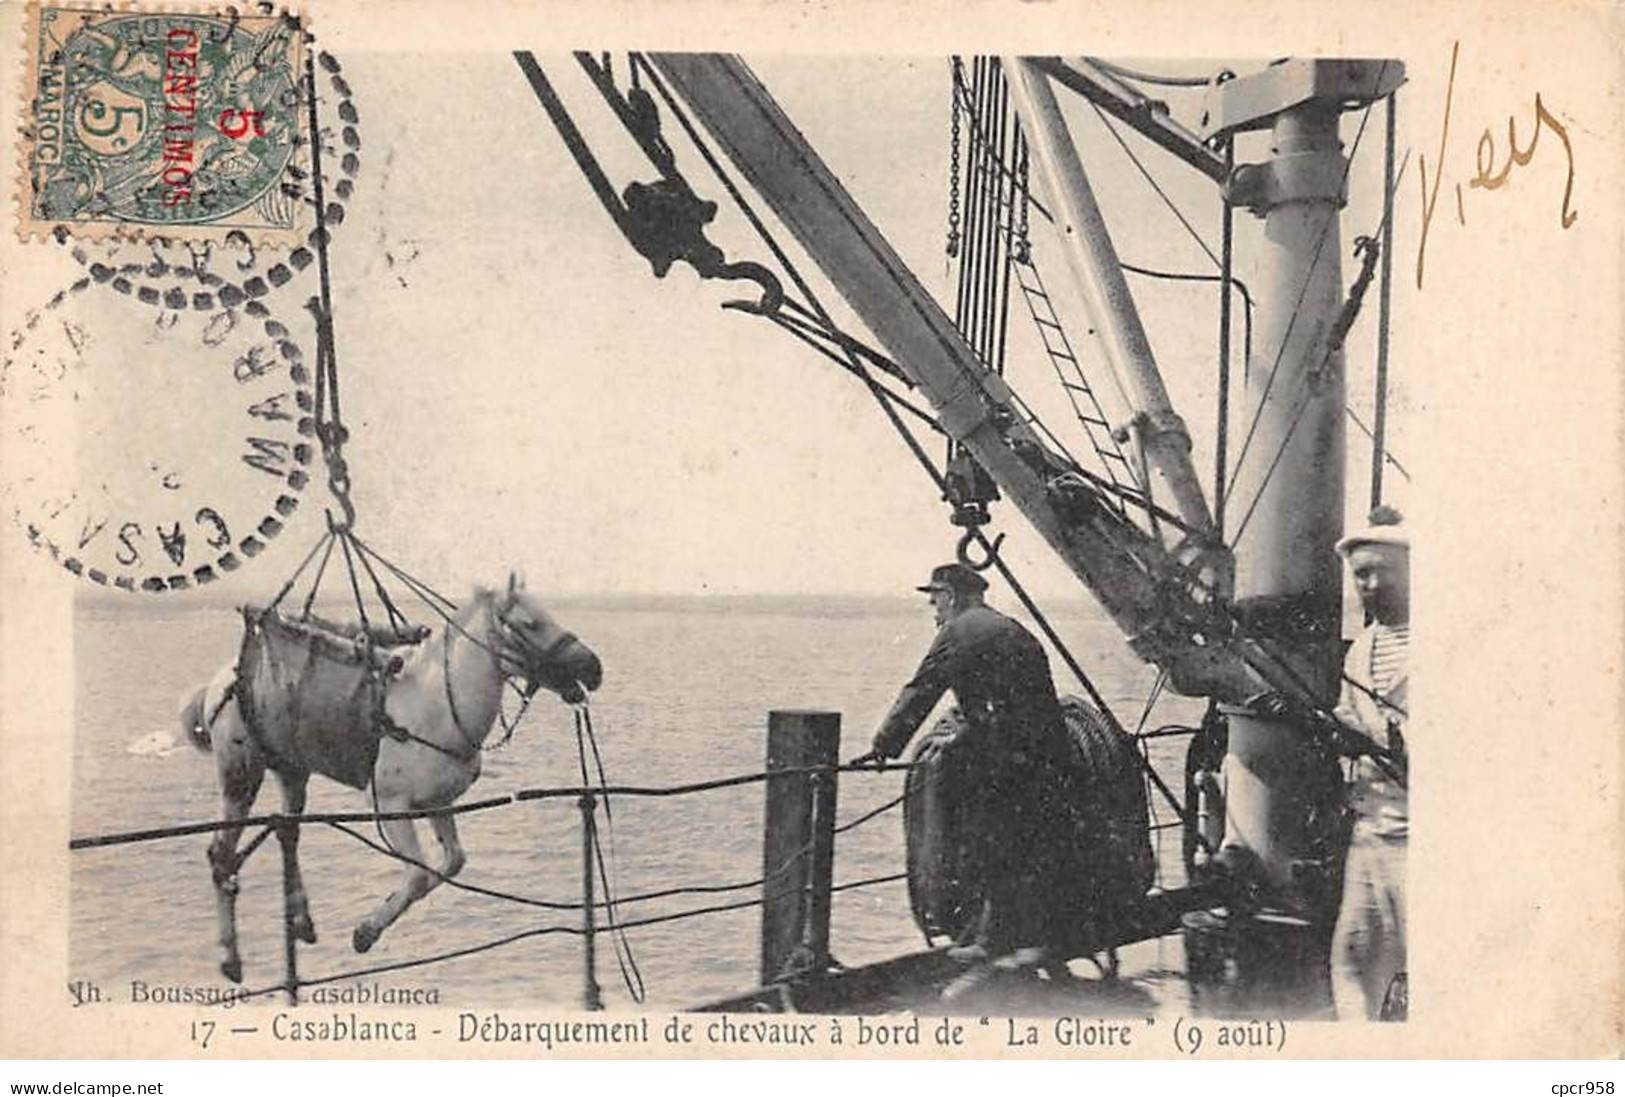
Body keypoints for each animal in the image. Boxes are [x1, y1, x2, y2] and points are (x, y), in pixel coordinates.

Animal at [184, 575, 604, 988]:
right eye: (531, 623)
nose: (593, 667)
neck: (436, 705)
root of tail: (219, 681)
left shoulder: (437, 803)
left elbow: (451, 862)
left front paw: (374, 917)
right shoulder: (390, 806)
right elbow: (418, 875)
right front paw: (365, 932)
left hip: (292, 770)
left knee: (288, 834)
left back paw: (301, 921)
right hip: (240, 772)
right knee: (221, 855)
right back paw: (230, 958)